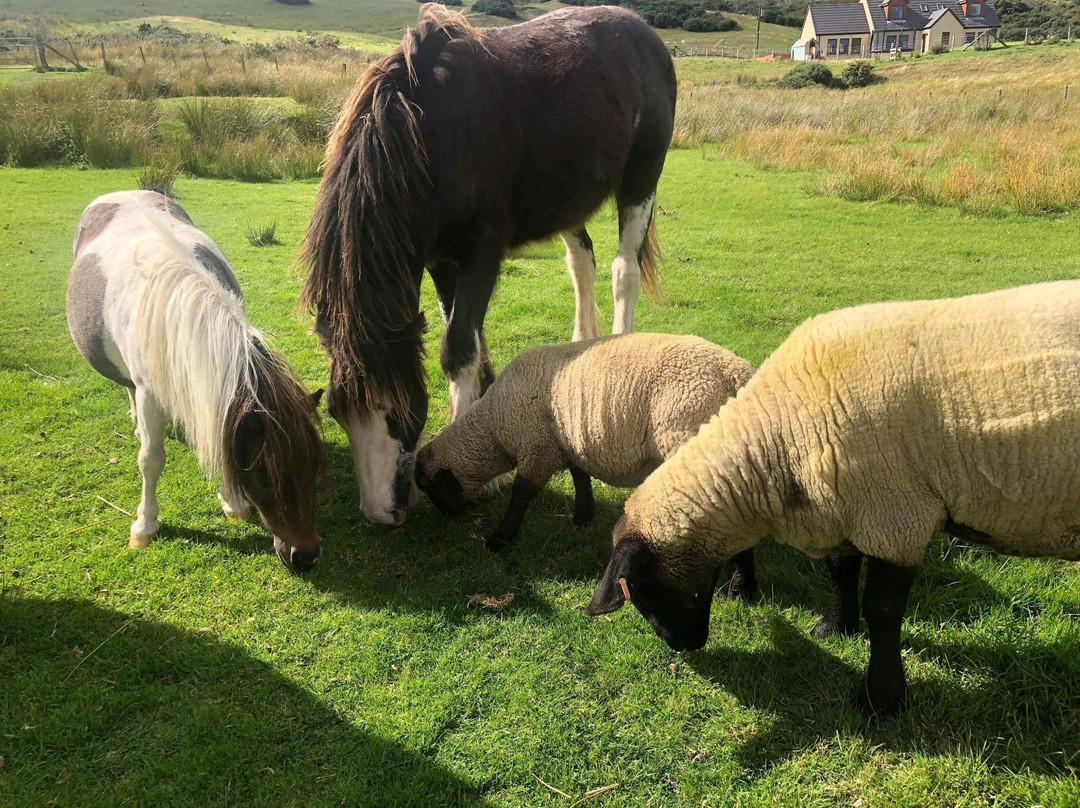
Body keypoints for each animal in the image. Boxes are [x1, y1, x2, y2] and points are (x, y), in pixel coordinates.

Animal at [63, 190, 321, 570]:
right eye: (262, 475)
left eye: (314, 465)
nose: (305, 556)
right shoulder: (149, 392)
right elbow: (151, 460)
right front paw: (145, 526)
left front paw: (233, 502)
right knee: (128, 391)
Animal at [302, 6, 673, 527]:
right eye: (337, 413)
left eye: (396, 412)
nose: (382, 514)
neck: (428, 132)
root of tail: (643, 30)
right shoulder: (440, 258)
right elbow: (465, 334)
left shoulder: (481, 252)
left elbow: (458, 345)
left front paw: (466, 466)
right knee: (582, 260)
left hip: (642, 177)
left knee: (625, 272)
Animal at [591, 280, 1080, 717]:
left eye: (642, 590)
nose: (685, 647)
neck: (775, 439)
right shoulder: (844, 502)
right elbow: (840, 568)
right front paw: (835, 628)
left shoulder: (897, 516)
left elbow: (883, 611)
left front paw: (881, 701)